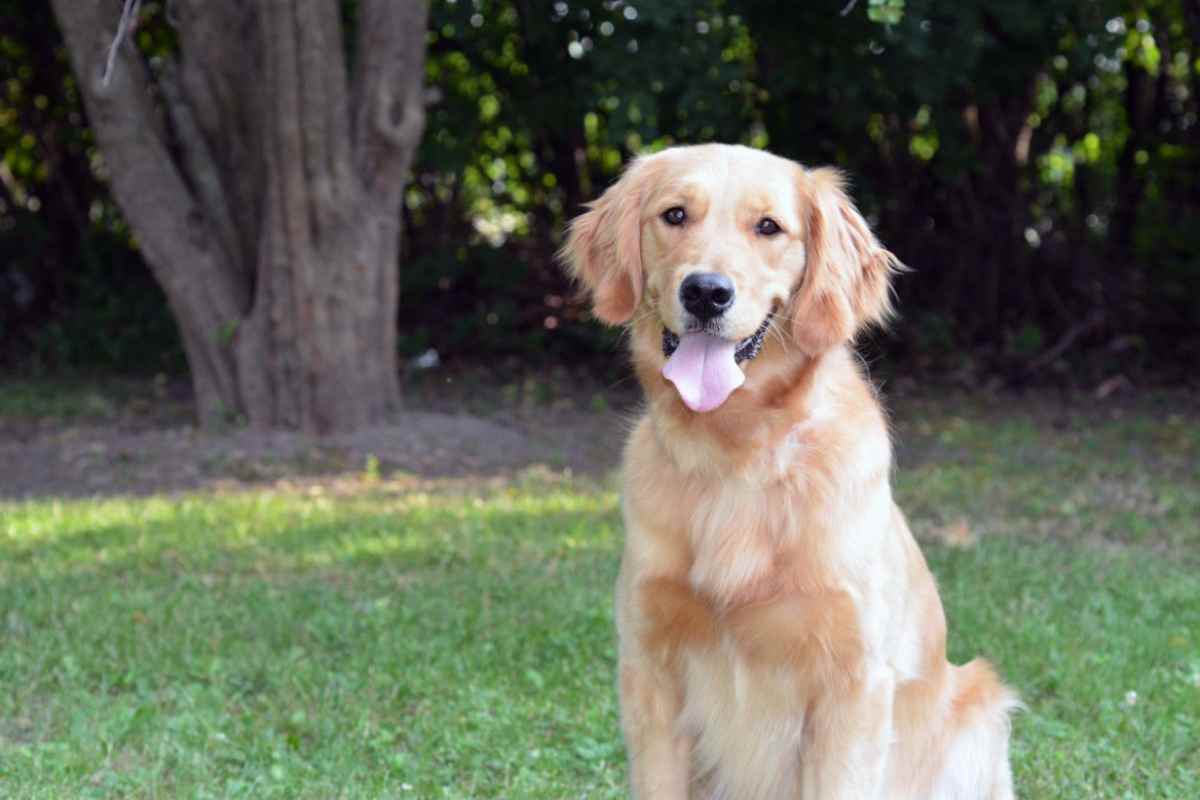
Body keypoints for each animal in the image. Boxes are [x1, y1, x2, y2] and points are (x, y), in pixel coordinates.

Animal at [556, 145, 1017, 800]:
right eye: (675, 215)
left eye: (769, 227)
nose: (706, 292)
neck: (738, 451)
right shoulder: (650, 671)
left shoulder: (852, 686)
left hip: (979, 714)